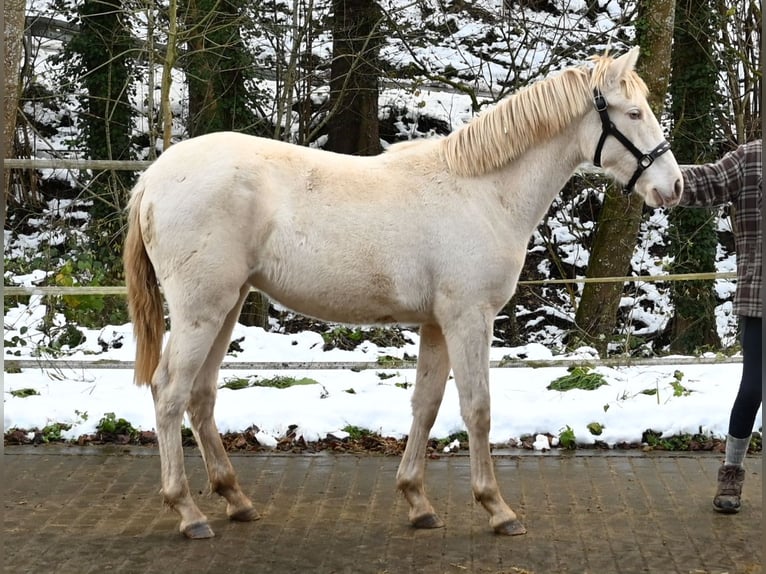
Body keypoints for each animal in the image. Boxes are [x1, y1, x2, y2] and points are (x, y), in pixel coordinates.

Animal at [124, 48, 684, 540]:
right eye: (633, 112)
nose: (675, 186)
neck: (483, 191)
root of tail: (153, 177)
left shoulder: (437, 324)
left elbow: (427, 406)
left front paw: (418, 502)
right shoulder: (468, 318)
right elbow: (477, 408)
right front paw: (496, 508)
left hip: (229, 304)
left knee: (200, 395)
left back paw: (235, 500)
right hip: (201, 310)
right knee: (170, 393)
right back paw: (188, 512)